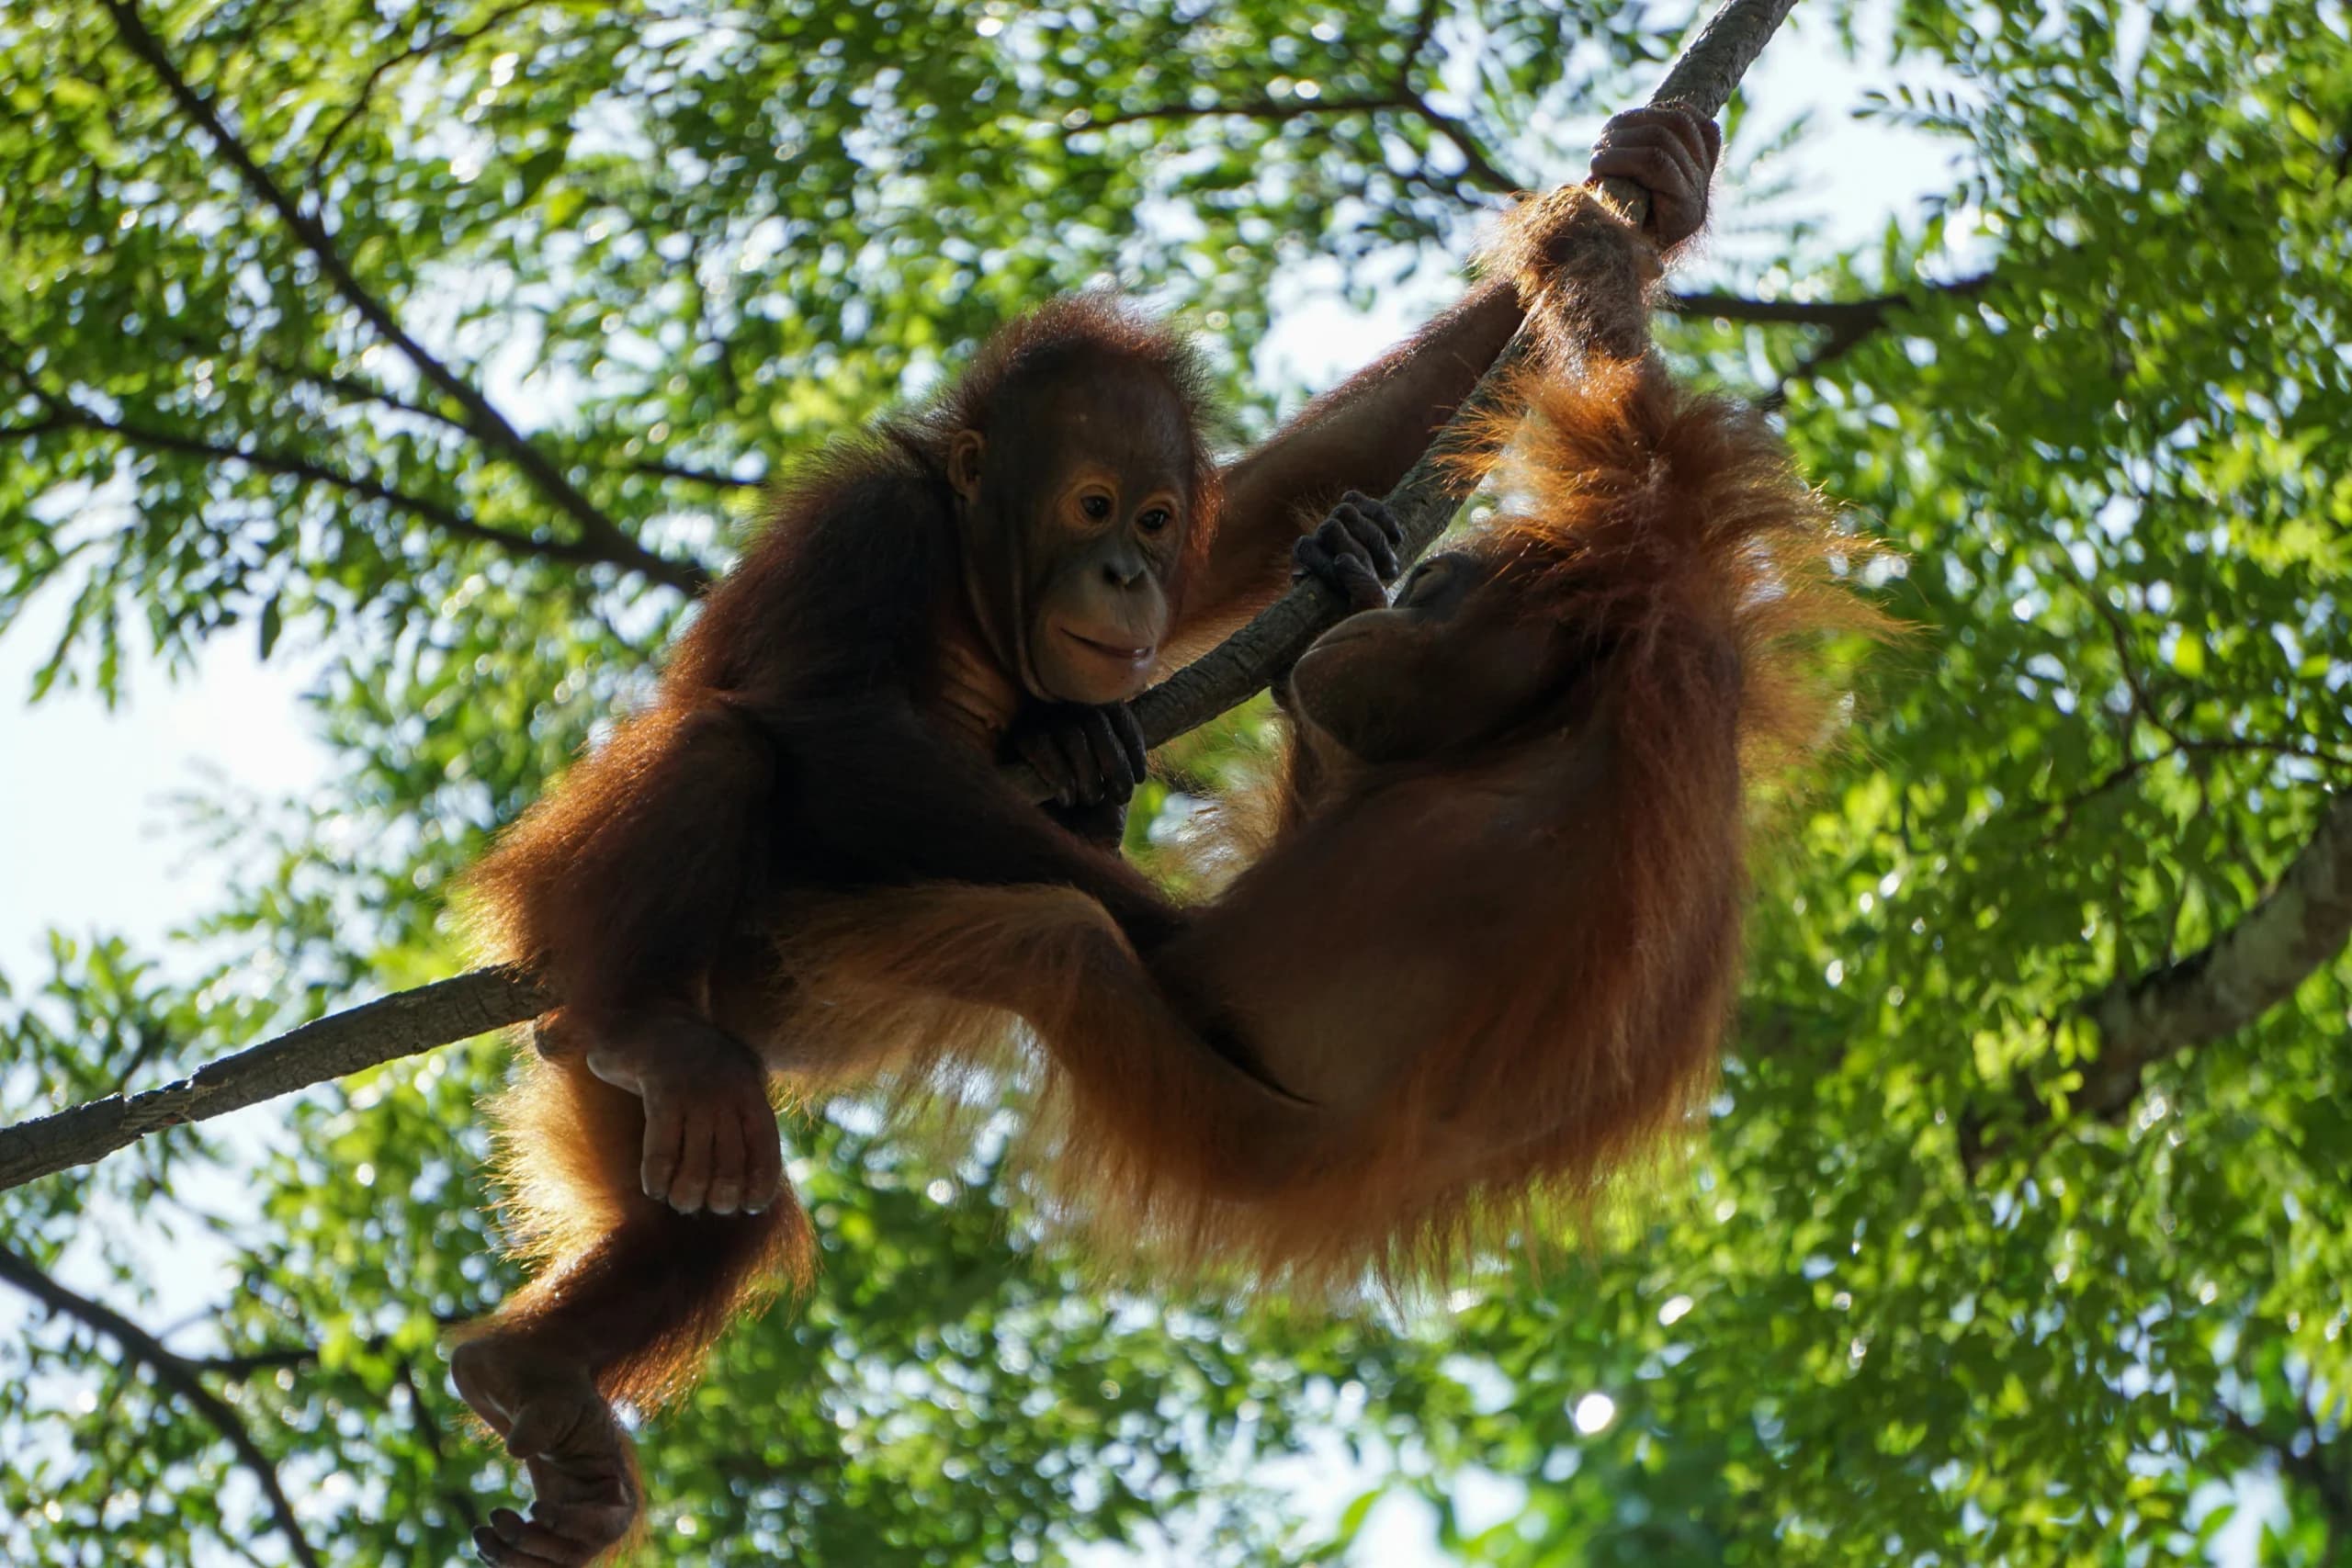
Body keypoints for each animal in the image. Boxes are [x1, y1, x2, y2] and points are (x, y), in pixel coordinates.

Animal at [450, 106, 1724, 1568]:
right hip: (559, 905)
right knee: (727, 753)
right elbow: (834, 722)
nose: (1122, 575)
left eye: (1155, 519)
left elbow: (1269, 501)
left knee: (719, 1210)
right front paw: (1156, 896)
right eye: (1092, 506)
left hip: (653, 1118)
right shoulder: (870, 521)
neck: (971, 583)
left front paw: (1656, 189)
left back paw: (539, 1379)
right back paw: (647, 1024)